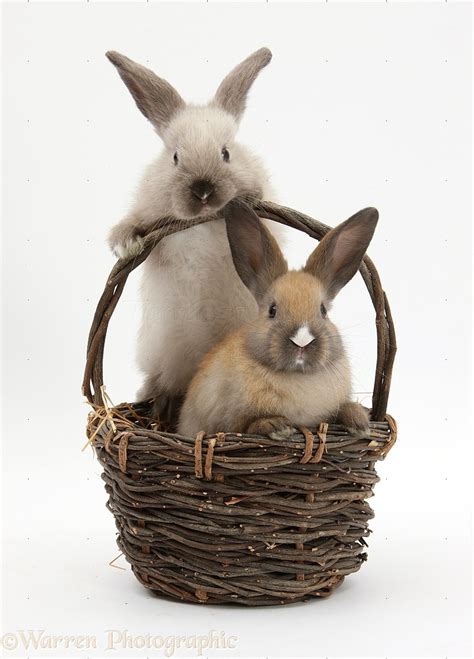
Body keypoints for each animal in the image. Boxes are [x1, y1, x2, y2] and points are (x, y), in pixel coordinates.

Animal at [105, 47, 276, 428]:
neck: (202, 222)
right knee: (162, 386)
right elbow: (132, 224)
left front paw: (248, 198)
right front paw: (126, 244)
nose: (203, 190)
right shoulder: (149, 212)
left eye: (226, 153)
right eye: (175, 157)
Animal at [177, 201, 378, 438]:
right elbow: (247, 425)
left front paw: (360, 423)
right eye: (272, 310)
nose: (302, 340)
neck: (297, 375)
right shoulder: (229, 422)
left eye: (323, 311)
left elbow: (343, 408)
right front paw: (277, 426)